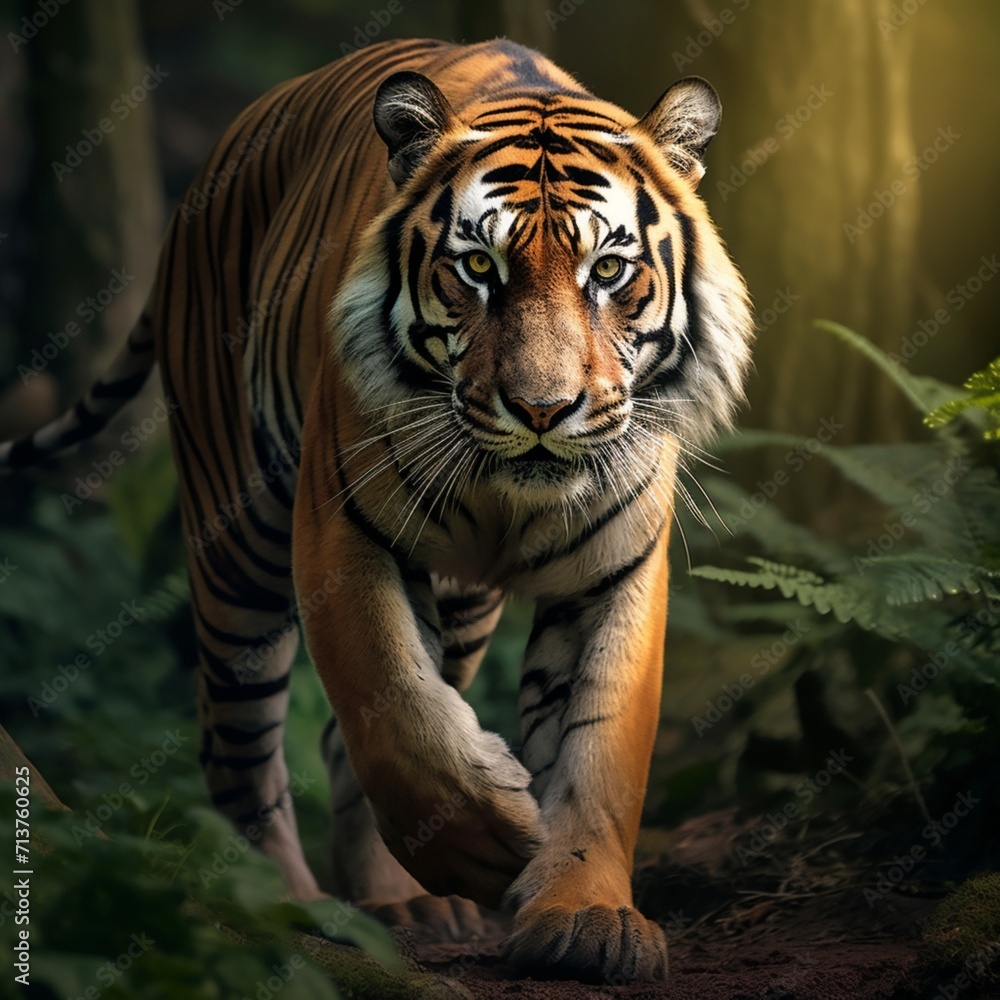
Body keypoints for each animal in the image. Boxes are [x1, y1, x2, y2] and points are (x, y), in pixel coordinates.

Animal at [1, 38, 752, 982]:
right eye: (478, 267)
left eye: (608, 271)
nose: (542, 410)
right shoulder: (341, 531)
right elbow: (394, 708)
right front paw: (489, 847)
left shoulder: (613, 570)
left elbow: (599, 749)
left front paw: (587, 917)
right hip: (239, 545)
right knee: (239, 745)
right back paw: (286, 906)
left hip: (462, 604)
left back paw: (402, 904)